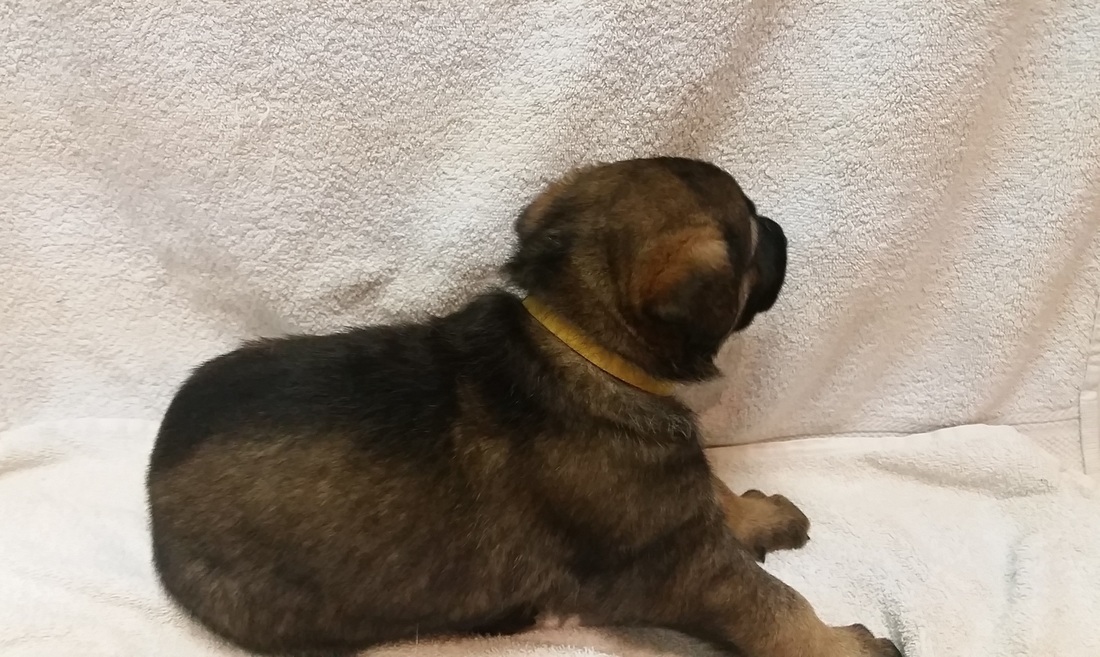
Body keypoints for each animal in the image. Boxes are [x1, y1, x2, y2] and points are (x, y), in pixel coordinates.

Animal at [147, 157, 901, 657]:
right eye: (748, 232)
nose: (780, 229)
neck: (583, 344)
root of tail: (153, 482)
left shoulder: (676, 501)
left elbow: (712, 488)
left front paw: (758, 512)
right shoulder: (684, 564)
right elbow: (774, 604)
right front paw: (842, 643)